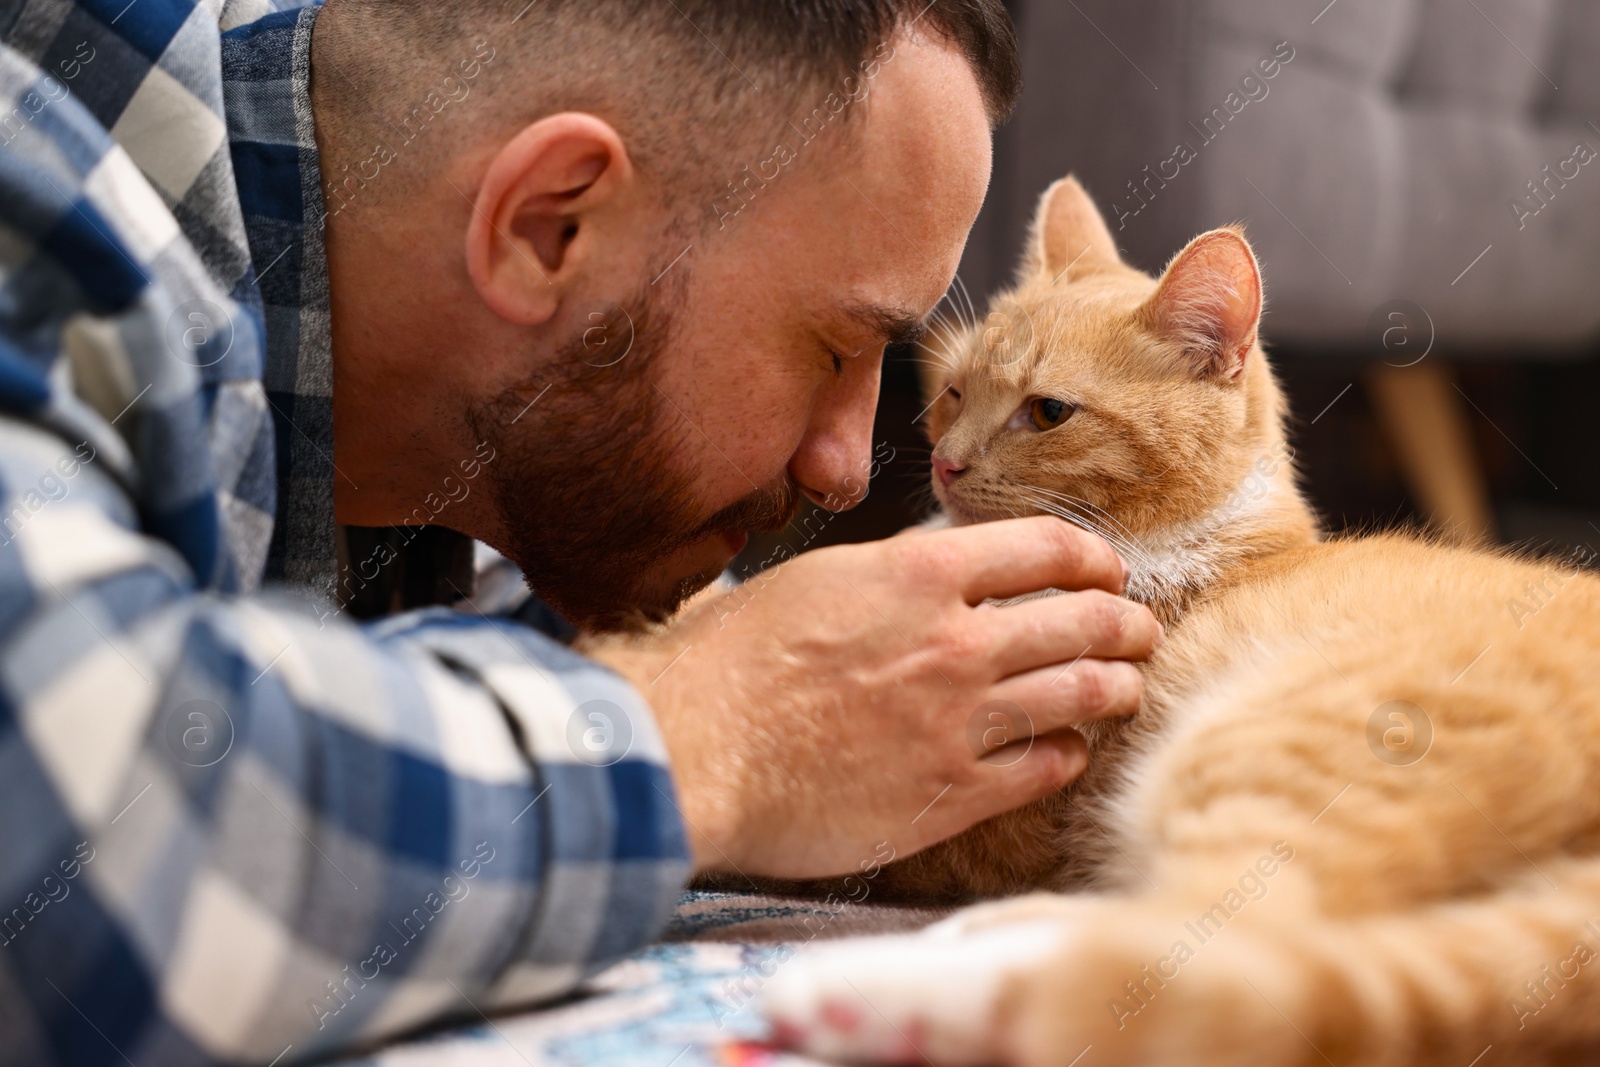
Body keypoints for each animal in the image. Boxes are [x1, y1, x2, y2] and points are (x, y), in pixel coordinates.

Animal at [758, 177, 1600, 1067]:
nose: (947, 462)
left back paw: (873, 985)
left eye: (1047, 412)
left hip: (1280, 748)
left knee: (1211, 946)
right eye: (953, 391)